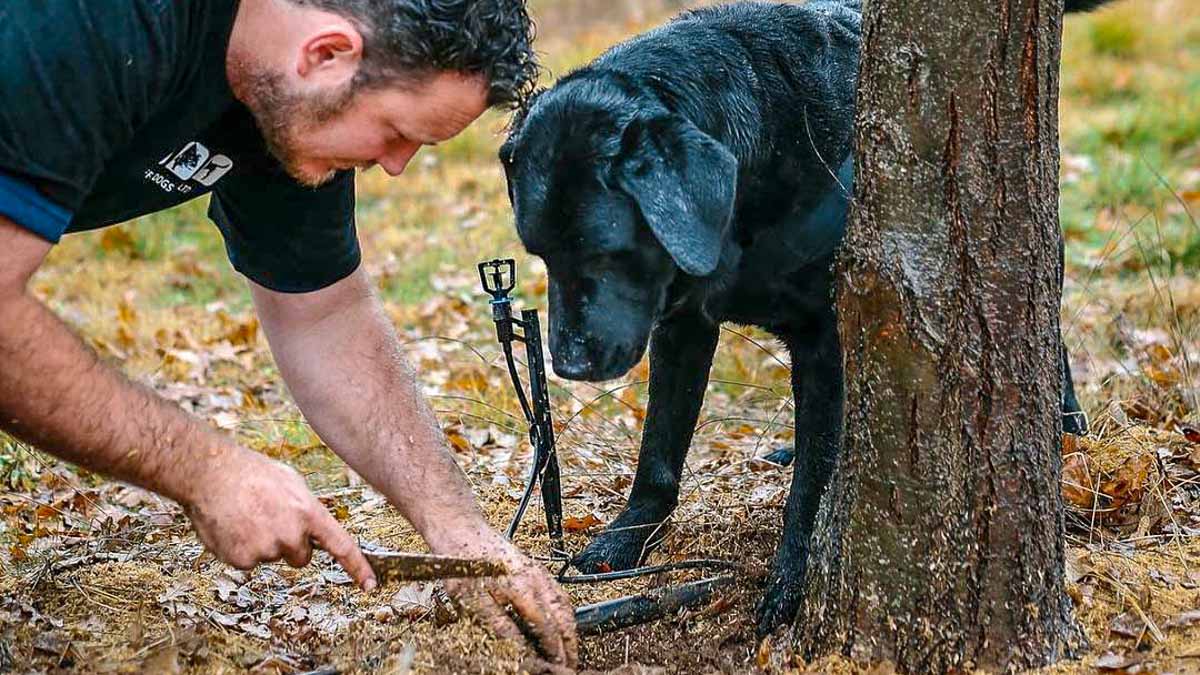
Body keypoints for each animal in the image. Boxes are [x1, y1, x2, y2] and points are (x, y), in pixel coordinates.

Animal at [501, 0, 1099, 634]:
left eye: (604, 251)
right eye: (541, 254)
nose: (567, 365)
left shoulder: (826, 341)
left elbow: (809, 488)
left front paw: (790, 581)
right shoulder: (683, 327)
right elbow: (659, 450)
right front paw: (625, 539)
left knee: (1049, 344)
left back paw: (1068, 427)